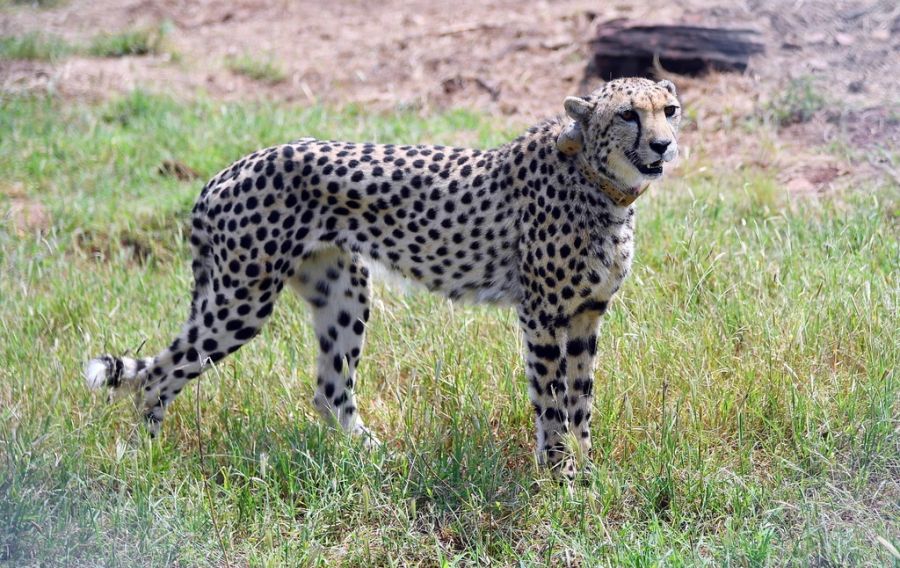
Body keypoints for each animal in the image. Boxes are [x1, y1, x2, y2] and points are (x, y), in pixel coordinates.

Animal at [88, 77, 684, 478]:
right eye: (628, 115)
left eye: (670, 110)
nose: (663, 145)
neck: (601, 183)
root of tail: (226, 170)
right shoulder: (541, 315)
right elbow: (552, 399)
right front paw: (559, 472)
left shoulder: (586, 314)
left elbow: (582, 398)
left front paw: (588, 470)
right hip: (242, 300)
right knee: (158, 375)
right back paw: (146, 458)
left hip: (343, 290)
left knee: (330, 390)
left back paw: (377, 458)